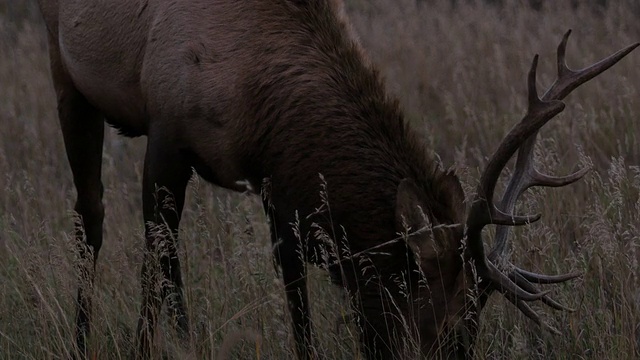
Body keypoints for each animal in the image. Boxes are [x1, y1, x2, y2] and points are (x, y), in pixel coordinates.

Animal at [37, 0, 636, 358]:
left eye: (476, 329)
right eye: (445, 330)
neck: (259, 101)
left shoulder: (277, 183)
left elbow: (294, 285)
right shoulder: (166, 129)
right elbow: (159, 256)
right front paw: (158, 345)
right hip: (66, 75)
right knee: (90, 215)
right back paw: (80, 339)